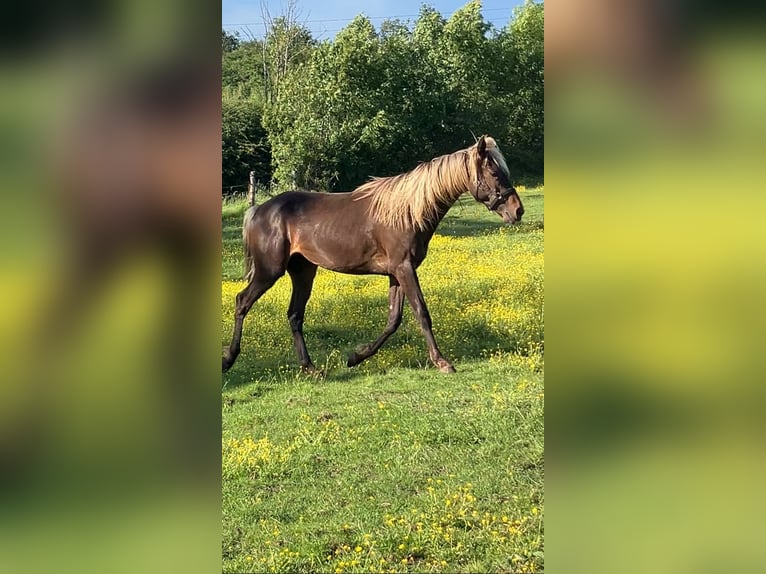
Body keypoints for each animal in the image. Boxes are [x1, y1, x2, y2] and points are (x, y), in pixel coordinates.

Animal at [222, 135, 524, 375]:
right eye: (495, 173)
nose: (517, 210)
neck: (407, 212)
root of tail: (258, 210)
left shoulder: (396, 273)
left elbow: (393, 320)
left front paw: (356, 356)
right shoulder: (404, 269)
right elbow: (421, 312)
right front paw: (442, 362)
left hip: (303, 271)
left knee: (295, 315)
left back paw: (310, 368)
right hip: (268, 271)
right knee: (242, 302)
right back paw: (228, 359)